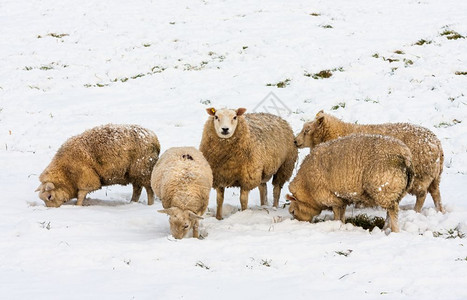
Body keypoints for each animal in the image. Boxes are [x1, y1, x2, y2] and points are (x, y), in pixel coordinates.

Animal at [296, 110, 446, 213]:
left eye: (307, 130)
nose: (295, 141)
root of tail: (437, 144)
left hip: (420, 176)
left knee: (422, 195)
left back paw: (416, 211)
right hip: (434, 176)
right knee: (435, 193)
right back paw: (440, 210)